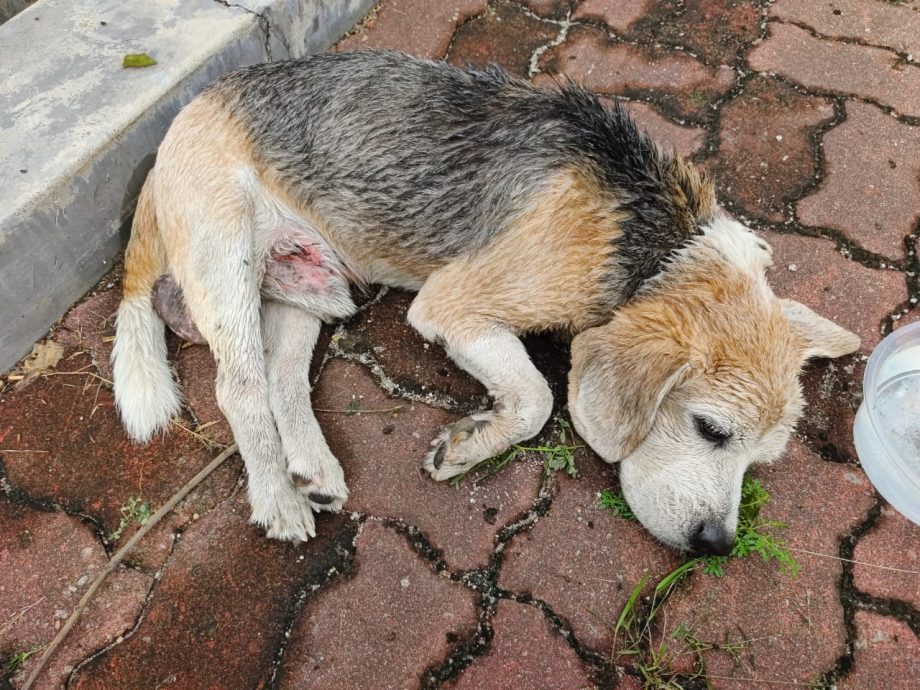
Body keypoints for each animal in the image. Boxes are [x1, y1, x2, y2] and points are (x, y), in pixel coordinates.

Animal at [111, 49, 860, 552]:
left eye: (759, 463)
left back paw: (313, 470)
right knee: (239, 388)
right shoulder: (451, 306)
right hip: (225, 254)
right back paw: (276, 498)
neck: (657, 242)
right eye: (710, 430)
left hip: (312, 290)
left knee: (283, 378)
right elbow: (536, 399)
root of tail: (178, 128)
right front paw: (470, 446)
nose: (716, 546)